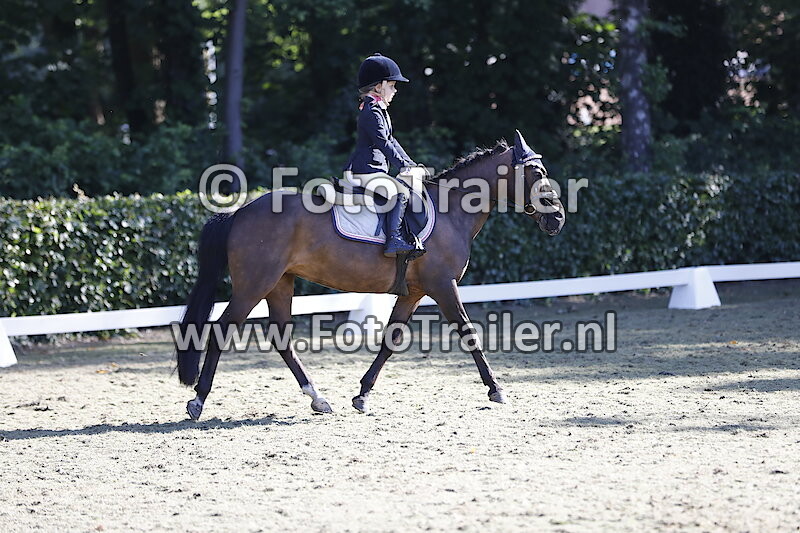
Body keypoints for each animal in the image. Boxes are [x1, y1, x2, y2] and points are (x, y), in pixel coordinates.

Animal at [176, 130, 565, 420]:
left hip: (279, 284)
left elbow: (391, 339)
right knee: (223, 329)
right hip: (254, 284)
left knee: (282, 338)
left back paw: (318, 399)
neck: (451, 210)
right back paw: (198, 401)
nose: (558, 219)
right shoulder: (443, 285)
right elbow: (468, 332)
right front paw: (496, 389)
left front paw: (362, 395)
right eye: (538, 174)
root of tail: (239, 212)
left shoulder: (414, 292)